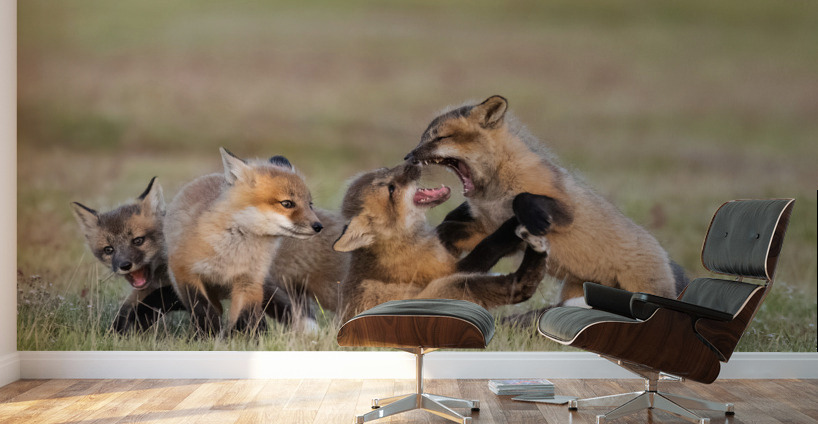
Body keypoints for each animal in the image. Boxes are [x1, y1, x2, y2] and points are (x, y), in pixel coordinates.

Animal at [71, 177, 184, 334]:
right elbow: (123, 313)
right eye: (109, 249)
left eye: (138, 241)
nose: (125, 265)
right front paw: (116, 335)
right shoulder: (143, 291)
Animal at [164, 148, 324, 336]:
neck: (234, 252)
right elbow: (202, 309)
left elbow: (246, 316)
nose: (319, 226)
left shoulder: (249, 280)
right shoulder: (184, 272)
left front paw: (246, 339)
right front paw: (208, 335)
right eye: (287, 203)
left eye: (310, 204)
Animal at [332, 162, 548, 321]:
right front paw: (512, 222)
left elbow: (450, 225)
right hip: (453, 287)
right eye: (391, 189)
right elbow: (488, 246)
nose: (411, 161)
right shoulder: (449, 270)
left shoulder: (446, 252)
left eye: (386, 169)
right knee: (521, 287)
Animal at [404, 95, 688, 308]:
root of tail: (665, 255)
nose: (408, 156)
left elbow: (523, 198)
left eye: (440, 138)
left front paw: (534, 217)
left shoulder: (565, 211)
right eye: (423, 137)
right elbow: (453, 231)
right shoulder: (486, 227)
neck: (493, 194)